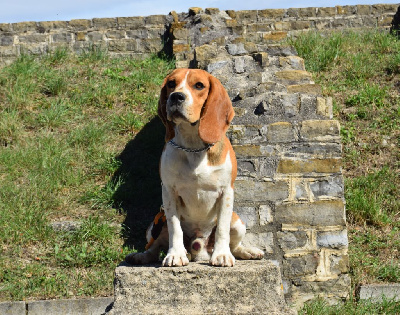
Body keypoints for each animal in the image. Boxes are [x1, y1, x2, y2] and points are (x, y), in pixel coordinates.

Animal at [125, 68, 262, 266]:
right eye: (171, 84)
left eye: (199, 85)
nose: (176, 96)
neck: (193, 146)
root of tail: (199, 247)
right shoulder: (169, 192)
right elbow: (175, 227)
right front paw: (175, 254)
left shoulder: (227, 191)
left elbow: (222, 228)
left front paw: (222, 254)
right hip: (154, 226)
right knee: (155, 246)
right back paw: (143, 256)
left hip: (237, 222)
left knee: (235, 244)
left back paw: (246, 251)